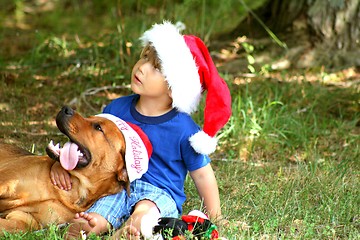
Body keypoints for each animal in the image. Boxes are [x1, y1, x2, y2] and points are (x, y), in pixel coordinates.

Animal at [0, 106, 129, 234]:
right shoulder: (6, 181)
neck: (74, 190)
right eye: (89, 117)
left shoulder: (26, 217)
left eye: (98, 127)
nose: (66, 108)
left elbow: (18, 225)